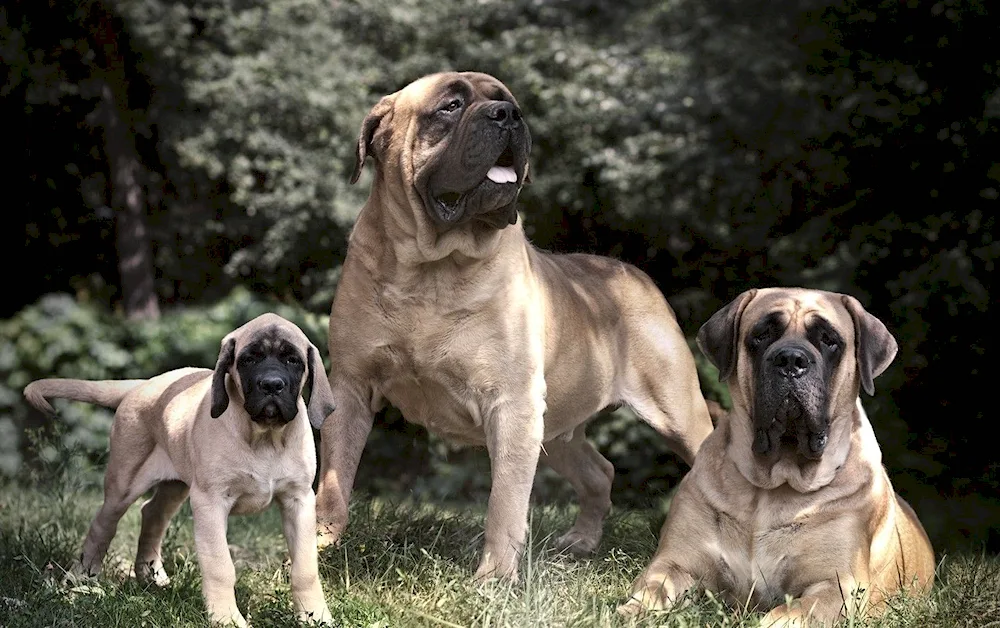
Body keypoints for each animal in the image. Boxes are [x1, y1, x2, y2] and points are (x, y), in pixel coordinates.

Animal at [22, 314, 336, 628]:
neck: (264, 437)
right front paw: (226, 617)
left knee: (152, 513)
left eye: (293, 360)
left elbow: (305, 568)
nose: (272, 385)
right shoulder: (210, 502)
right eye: (249, 359)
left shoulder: (299, 501)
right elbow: (220, 565)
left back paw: (151, 576)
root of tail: (144, 385)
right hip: (123, 483)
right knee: (104, 524)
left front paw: (315, 615)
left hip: (175, 486)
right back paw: (81, 578)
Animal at [316, 71, 716, 580]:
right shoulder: (351, 386)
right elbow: (333, 480)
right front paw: (317, 550)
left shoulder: (512, 403)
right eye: (450, 106)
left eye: (509, 101)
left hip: (675, 409)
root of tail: (635, 275)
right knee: (599, 472)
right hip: (560, 424)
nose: (508, 115)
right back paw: (581, 542)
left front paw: (493, 578)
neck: (432, 269)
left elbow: (504, 503)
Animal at [620, 288, 932, 624]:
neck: (774, 485)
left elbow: (787, 614)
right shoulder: (675, 562)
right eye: (762, 334)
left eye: (828, 339)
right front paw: (630, 612)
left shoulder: (837, 587)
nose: (791, 359)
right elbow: (653, 589)